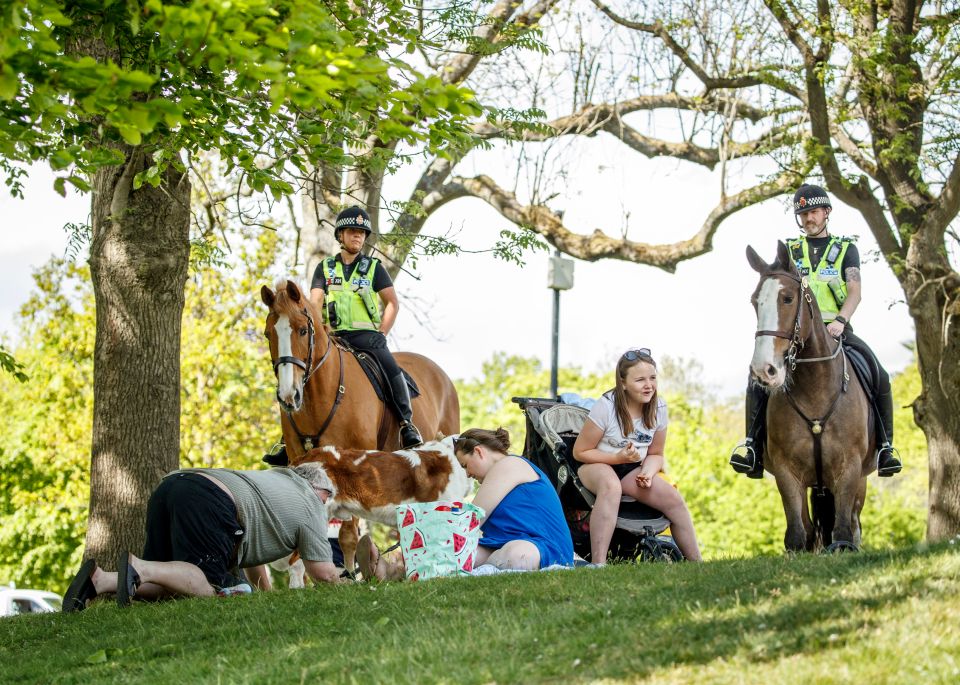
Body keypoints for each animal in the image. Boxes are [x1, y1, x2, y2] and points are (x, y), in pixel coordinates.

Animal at [260, 276, 460, 568]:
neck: (320, 394)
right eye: (268, 334)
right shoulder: (299, 459)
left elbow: (347, 536)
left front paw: (351, 573)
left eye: (302, 331)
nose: (288, 396)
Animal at [748, 240, 872, 552]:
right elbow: (797, 536)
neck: (815, 389)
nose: (764, 370)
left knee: (853, 526)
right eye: (755, 302)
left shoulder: (849, 469)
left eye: (788, 298)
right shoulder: (786, 472)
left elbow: (842, 535)